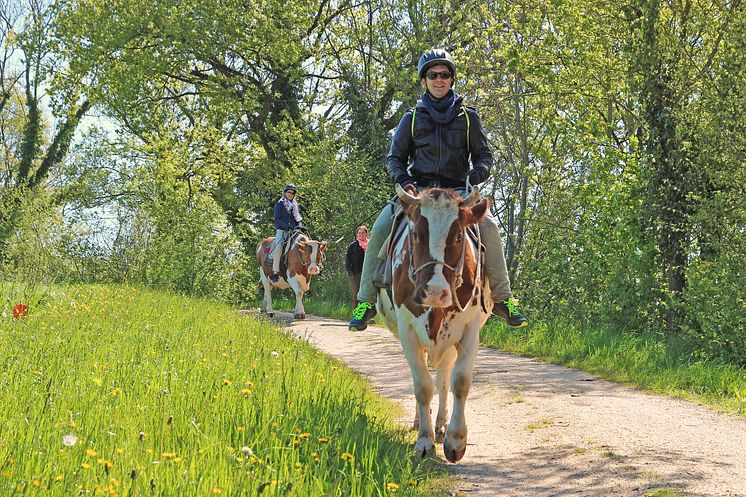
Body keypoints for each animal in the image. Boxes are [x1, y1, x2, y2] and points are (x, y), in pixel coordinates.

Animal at [378, 184, 488, 464]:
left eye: (458, 237)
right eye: (416, 234)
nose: (435, 293)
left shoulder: (470, 330)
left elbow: (460, 382)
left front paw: (455, 440)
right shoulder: (407, 332)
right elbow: (422, 386)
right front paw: (425, 442)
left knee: (444, 378)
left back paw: (440, 424)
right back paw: (422, 421)